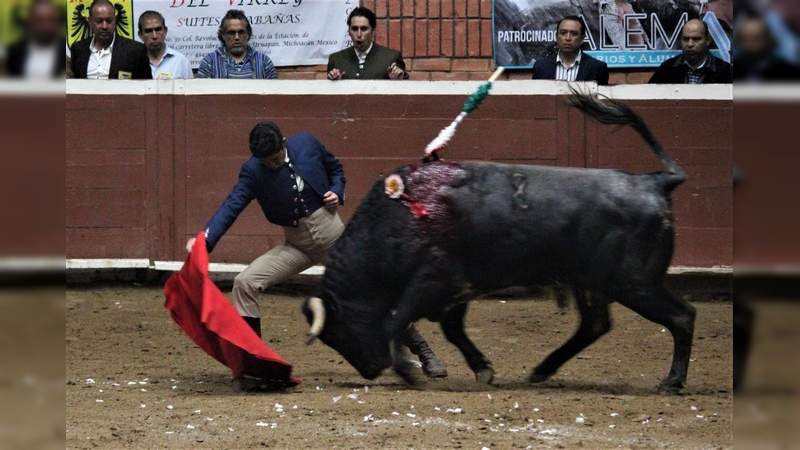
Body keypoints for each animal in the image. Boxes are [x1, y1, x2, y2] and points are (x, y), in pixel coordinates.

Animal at [304, 94, 696, 390]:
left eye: (339, 331)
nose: (371, 369)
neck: (396, 218)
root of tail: (656, 181)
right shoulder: (456, 289)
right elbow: (451, 329)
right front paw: (483, 369)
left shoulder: (432, 281)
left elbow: (396, 320)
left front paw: (408, 371)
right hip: (593, 283)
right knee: (596, 325)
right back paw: (542, 370)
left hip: (633, 282)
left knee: (682, 316)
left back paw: (672, 381)